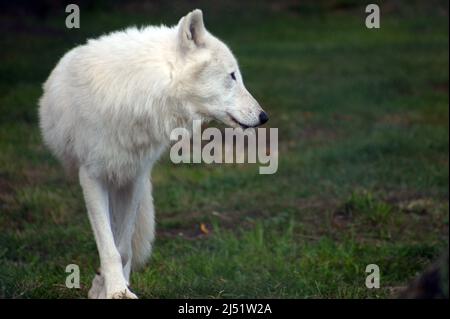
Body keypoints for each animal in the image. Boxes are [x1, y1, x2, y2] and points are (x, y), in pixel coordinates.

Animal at [37, 10, 268, 300]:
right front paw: (115, 291)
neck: (138, 94)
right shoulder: (92, 177)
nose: (264, 117)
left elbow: (123, 248)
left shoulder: (135, 177)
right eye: (232, 76)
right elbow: (109, 247)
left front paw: (109, 286)